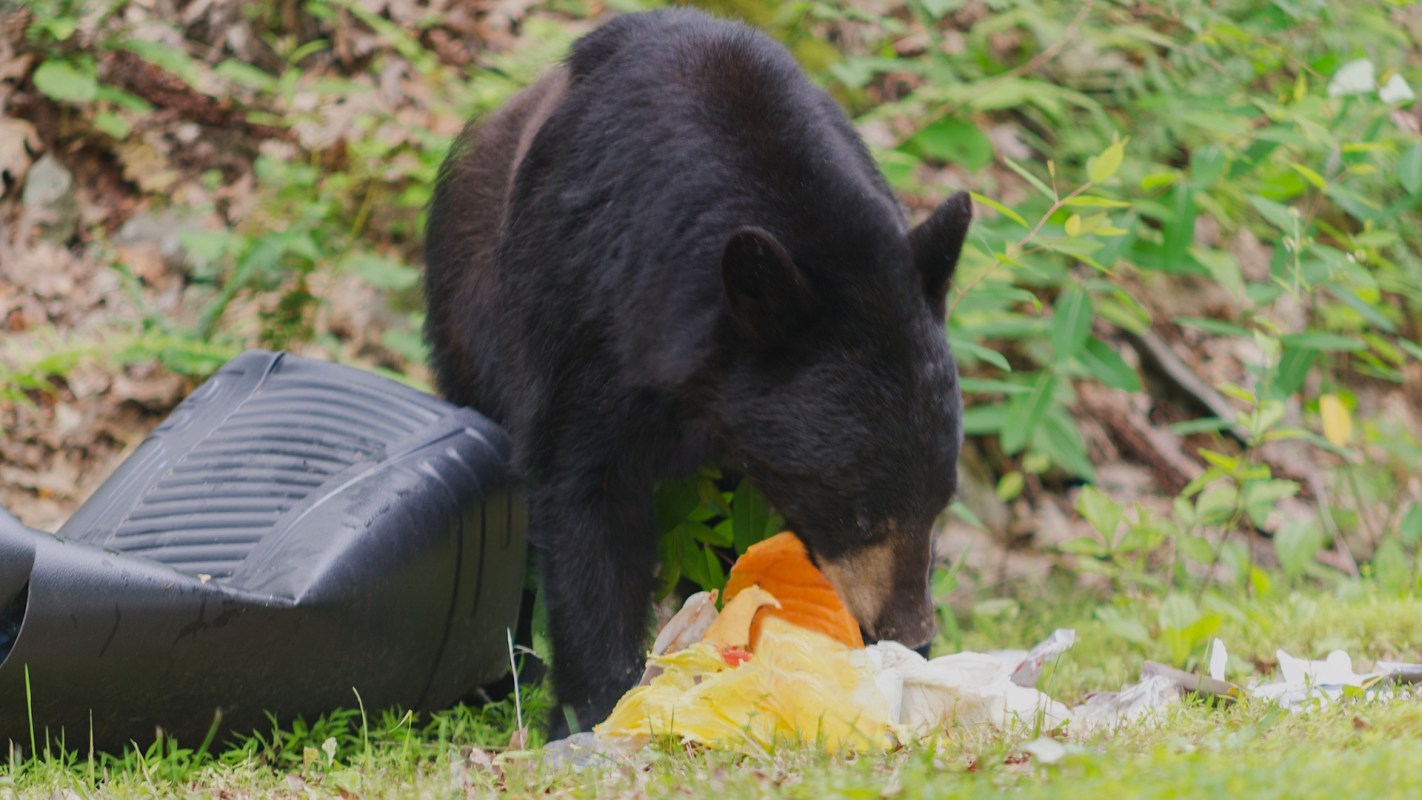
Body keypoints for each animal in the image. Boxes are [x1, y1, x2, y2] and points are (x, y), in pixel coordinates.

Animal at [423, 8, 971, 737]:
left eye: (942, 500)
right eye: (857, 514)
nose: (909, 631)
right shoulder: (584, 314)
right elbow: (583, 495)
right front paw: (596, 707)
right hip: (469, 318)